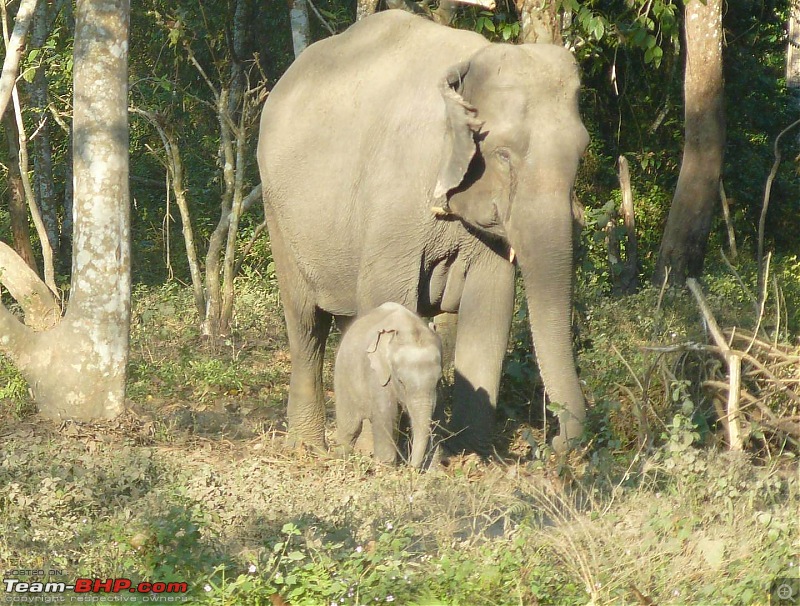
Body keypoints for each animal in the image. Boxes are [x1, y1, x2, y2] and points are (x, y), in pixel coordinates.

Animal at [332, 304, 444, 470]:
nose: (410, 466)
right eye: (400, 381)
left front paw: (434, 470)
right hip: (343, 377)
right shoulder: (377, 376)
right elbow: (386, 415)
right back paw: (341, 459)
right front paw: (386, 468)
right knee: (350, 427)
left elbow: (436, 417)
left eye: (439, 380)